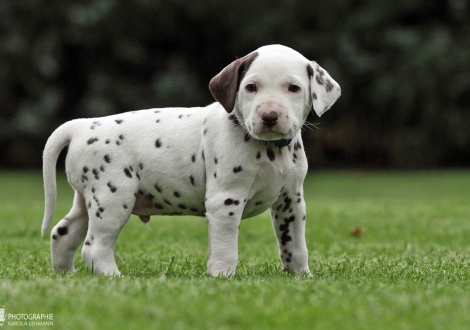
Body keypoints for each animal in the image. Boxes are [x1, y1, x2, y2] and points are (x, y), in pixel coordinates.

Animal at [41, 44, 342, 276]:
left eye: (293, 88)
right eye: (251, 87)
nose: (269, 115)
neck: (269, 150)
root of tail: (82, 125)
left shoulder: (291, 201)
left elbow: (295, 246)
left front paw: (301, 276)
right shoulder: (225, 201)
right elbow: (225, 249)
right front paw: (221, 277)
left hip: (87, 199)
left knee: (63, 233)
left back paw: (66, 276)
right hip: (113, 198)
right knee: (94, 247)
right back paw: (114, 277)